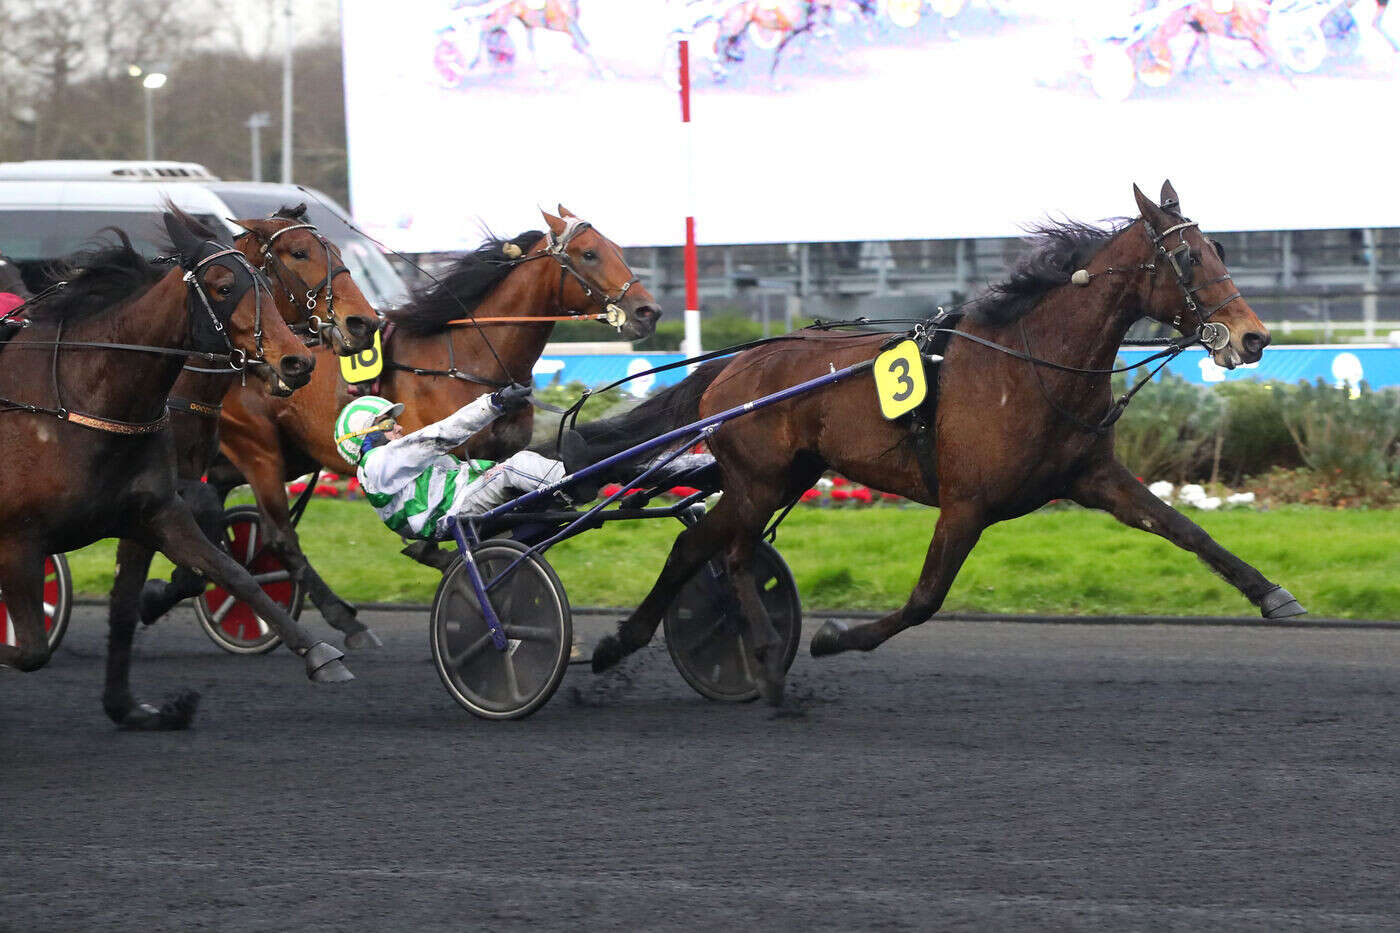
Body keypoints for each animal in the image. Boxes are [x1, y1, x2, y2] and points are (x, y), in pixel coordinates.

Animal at [0, 210, 350, 728]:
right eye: (224, 287)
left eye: (264, 282)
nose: (297, 360)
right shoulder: (19, 541)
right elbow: (31, 650)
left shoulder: (153, 511)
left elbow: (225, 574)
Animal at [576, 182, 1299, 700]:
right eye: (1187, 257)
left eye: (1221, 250)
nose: (1254, 336)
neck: (1032, 364)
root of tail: (736, 363)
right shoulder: (966, 503)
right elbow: (925, 599)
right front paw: (835, 638)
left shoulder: (1095, 477)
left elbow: (1188, 531)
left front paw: (1273, 595)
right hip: (758, 479)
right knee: (715, 549)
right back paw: (736, 662)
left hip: (780, 476)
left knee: (709, 547)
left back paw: (681, 652)